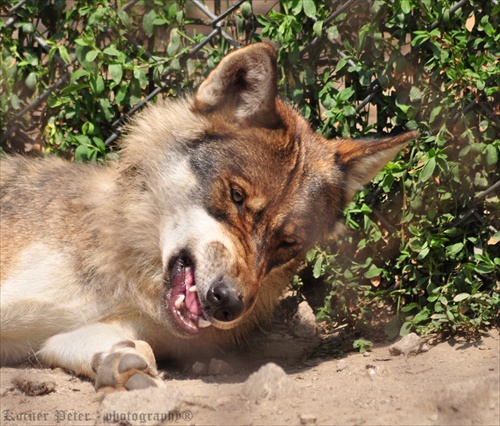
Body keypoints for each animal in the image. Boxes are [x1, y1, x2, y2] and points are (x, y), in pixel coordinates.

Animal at [0, 44, 418, 392]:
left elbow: (134, 348)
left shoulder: (60, 334)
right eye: (236, 197)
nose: (228, 304)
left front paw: (124, 366)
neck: (127, 270)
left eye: (288, 243)